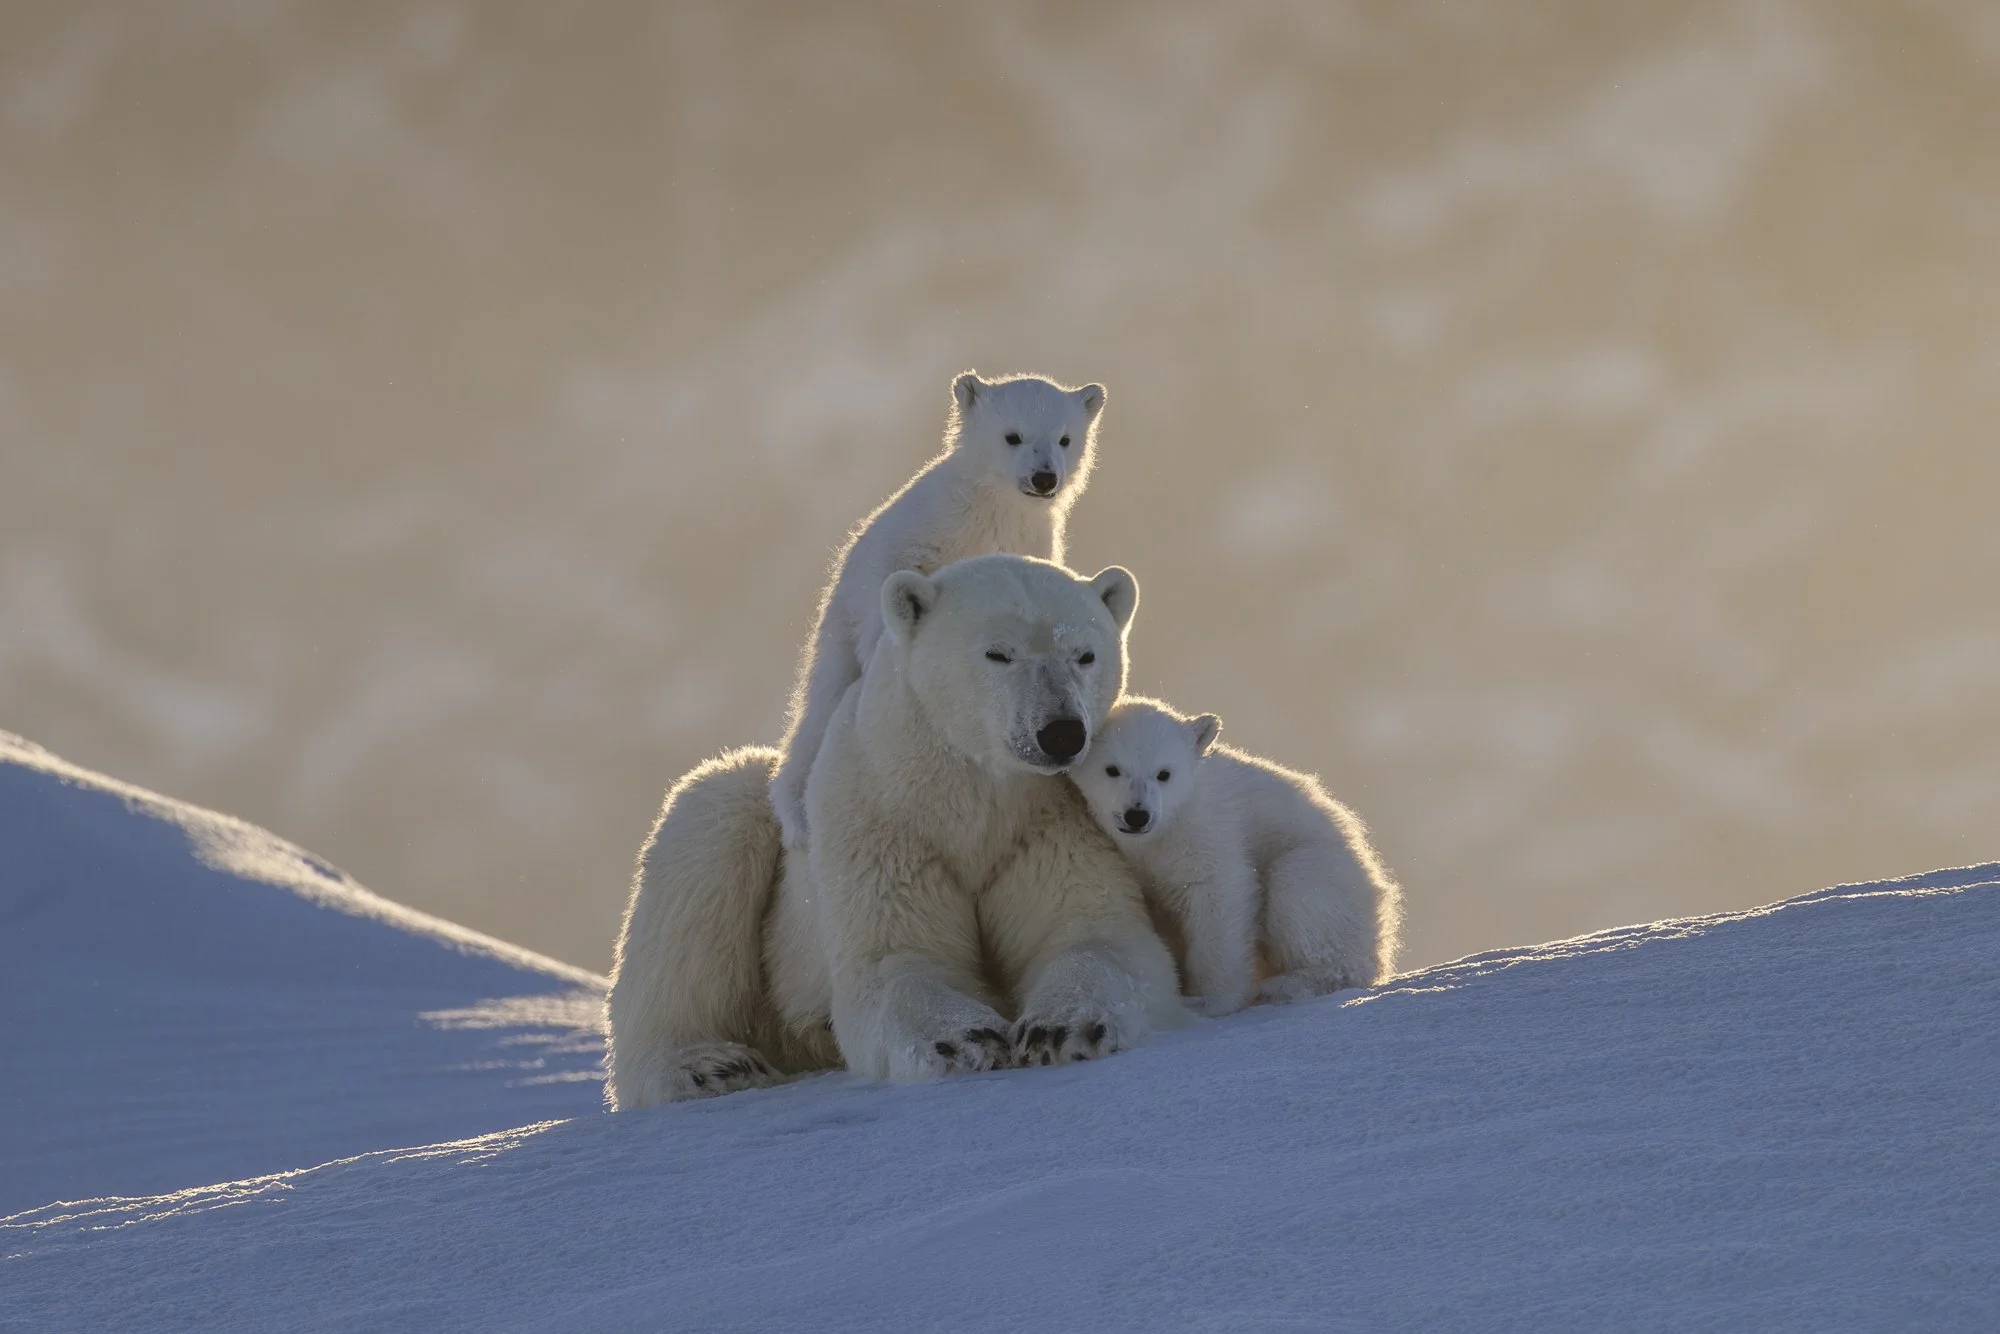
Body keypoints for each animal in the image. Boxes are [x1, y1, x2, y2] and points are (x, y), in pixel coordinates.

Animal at [769, 370, 1106, 855]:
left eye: (1065, 438)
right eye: (1013, 436)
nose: (1044, 478)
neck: (991, 511)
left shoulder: (1030, 541)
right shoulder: (923, 532)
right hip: (834, 641)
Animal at [806, 554, 1187, 1078]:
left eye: (1084, 655)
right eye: (998, 654)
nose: (1062, 733)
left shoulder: (1051, 823)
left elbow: (1093, 930)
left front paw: (1061, 1027)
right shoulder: (882, 823)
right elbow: (897, 955)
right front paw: (966, 1039)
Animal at [1068, 696, 1404, 1016]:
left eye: (1164, 773)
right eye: (1112, 769)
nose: (1137, 815)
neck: (1164, 831)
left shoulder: (1209, 831)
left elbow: (1220, 898)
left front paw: (1207, 1000)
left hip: (1327, 874)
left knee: (1298, 887)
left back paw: (1286, 984)